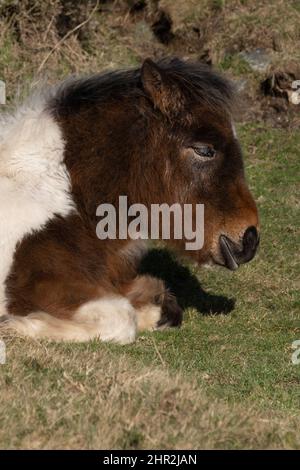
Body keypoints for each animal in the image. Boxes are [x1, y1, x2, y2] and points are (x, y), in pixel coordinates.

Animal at [0, 59, 258, 346]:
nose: (249, 240)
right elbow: (122, 319)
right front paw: (18, 325)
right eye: (204, 150)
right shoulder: (37, 286)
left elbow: (162, 301)